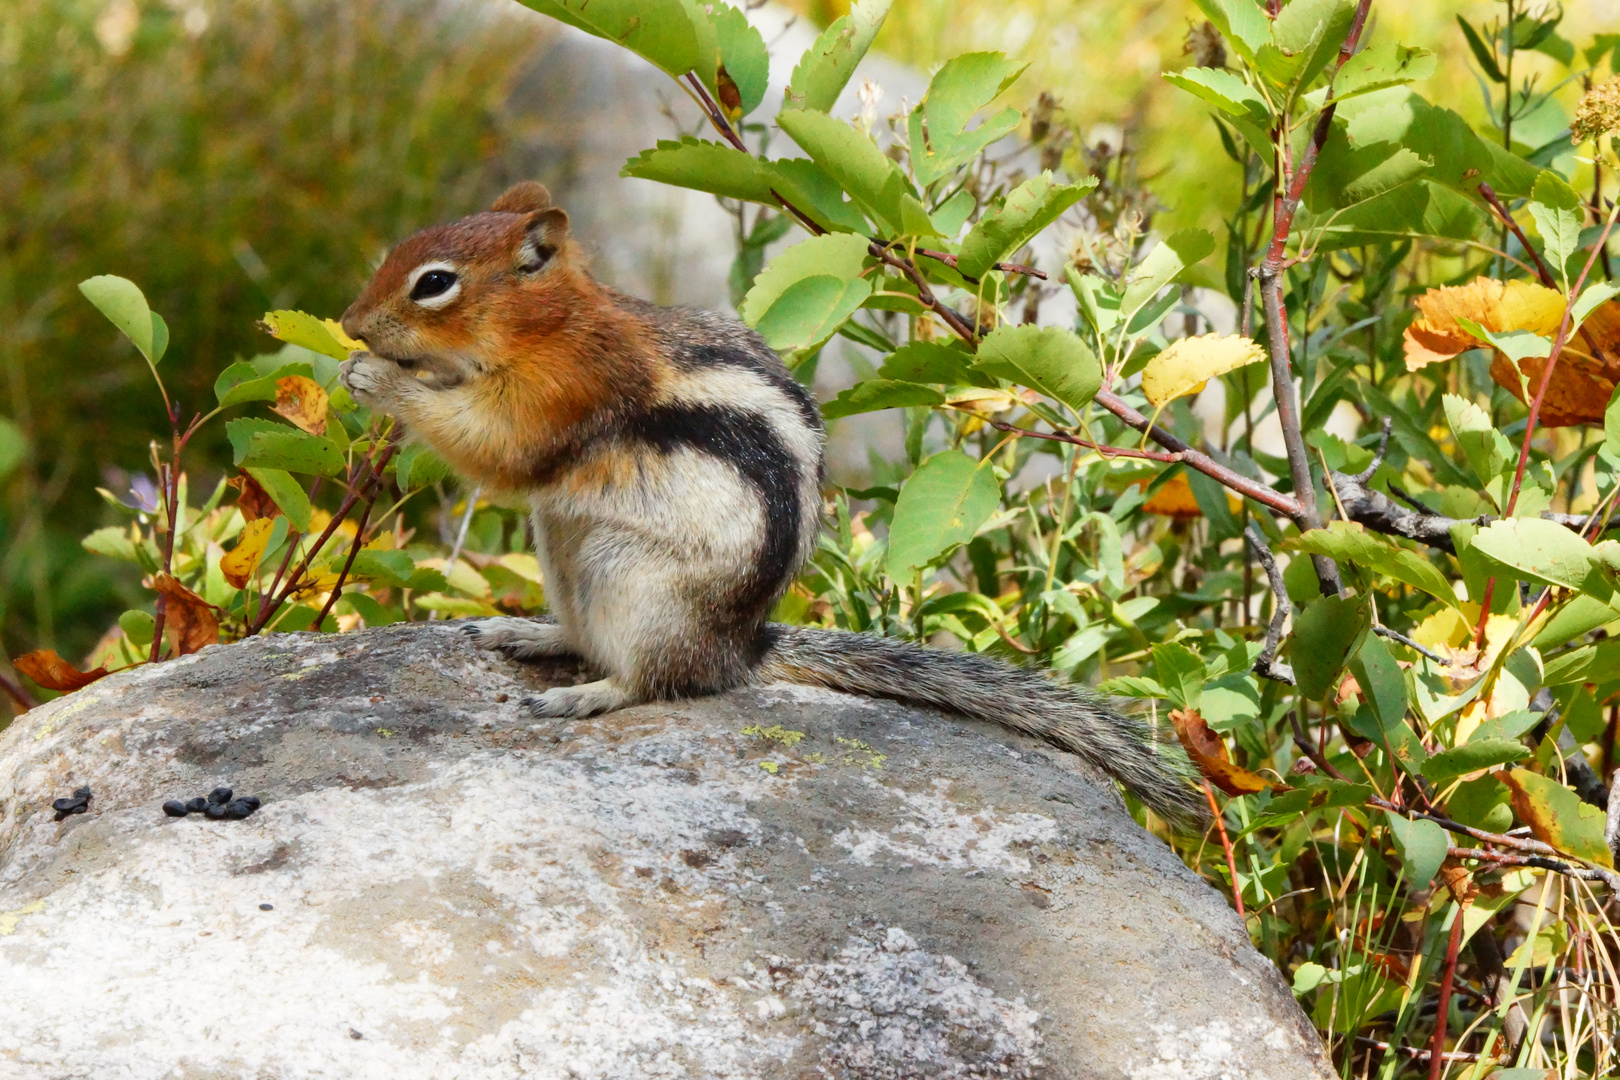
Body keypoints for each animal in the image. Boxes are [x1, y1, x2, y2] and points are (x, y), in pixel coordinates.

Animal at [338, 186, 1205, 829]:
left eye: (435, 282)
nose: (348, 323)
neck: (550, 325)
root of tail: (738, 649)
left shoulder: (563, 394)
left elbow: (497, 447)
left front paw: (377, 378)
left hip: (633, 580)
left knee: (659, 681)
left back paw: (589, 693)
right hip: (564, 540)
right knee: (585, 630)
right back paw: (531, 632)